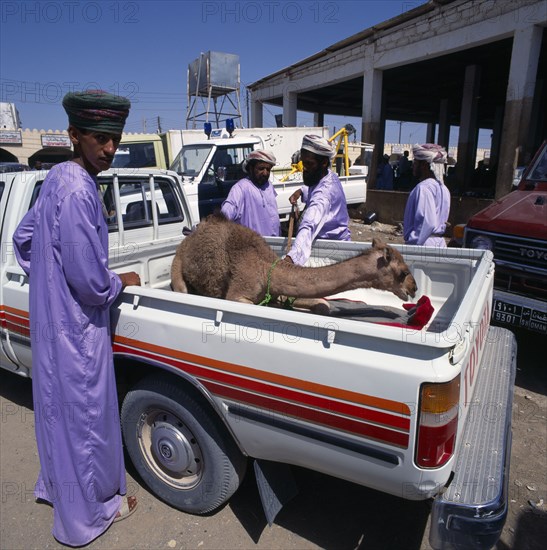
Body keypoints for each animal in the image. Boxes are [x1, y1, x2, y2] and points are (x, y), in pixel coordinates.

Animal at [173, 216, 418, 310]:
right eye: (403, 272)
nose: (414, 288)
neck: (267, 269)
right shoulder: (237, 293)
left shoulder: (279, 292)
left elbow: (322, 303)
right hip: (178, 264)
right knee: (182, 288)